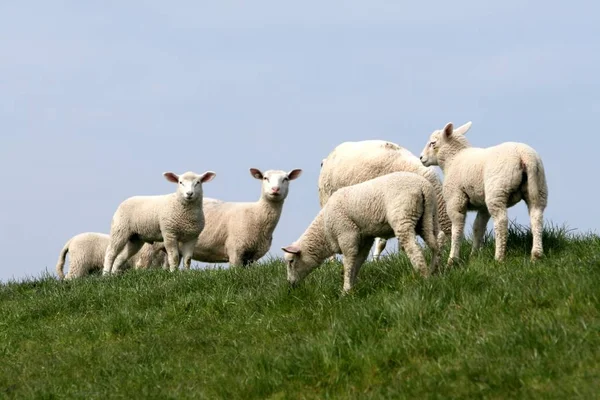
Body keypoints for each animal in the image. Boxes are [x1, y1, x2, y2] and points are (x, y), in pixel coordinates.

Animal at [282, 172, 440, 294]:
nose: (290, 285)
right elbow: (358, 262)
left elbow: (348, 263)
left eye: (291, 261)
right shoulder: (365, 239)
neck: (324, 230)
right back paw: (434, 271)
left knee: (414, 249)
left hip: (403, 216)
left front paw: (345, 291)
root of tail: (422, 186)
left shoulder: (346, 235)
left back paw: (424, 277)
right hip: (428, 217)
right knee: (435, 243)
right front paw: (352, 287)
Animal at [420, 120, 548, 264]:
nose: (421, 158)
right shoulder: (482, 205)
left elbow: (457, 229)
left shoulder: (455, 200)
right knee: (536, 216)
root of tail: (524, 155)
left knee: (501, 221)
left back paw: (499, 257)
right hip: (538, 187)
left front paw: (452, 259)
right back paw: (536, 255)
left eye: (433, 143)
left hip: (497, 190)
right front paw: (474, 255)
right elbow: (478, 227)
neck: (452, 159)